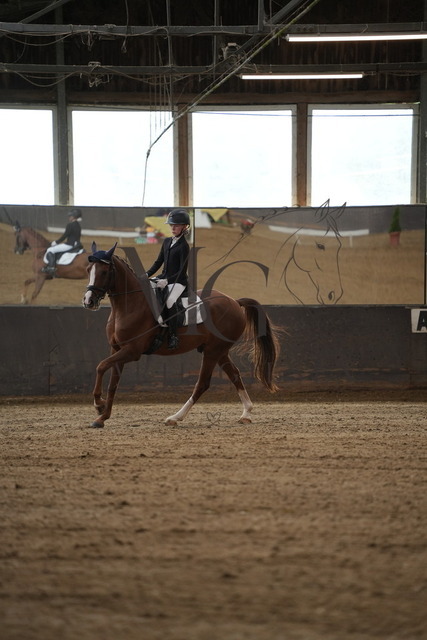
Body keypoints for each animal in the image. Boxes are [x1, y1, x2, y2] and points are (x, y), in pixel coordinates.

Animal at [82, 242, 280, 428]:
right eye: (88, 270)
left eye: (104, 271)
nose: (88, 301)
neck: (130, 305)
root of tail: (234, 302)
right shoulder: (117, 349)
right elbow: (112, 383)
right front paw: (102, 417)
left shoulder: (132, 351)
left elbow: (100, 366)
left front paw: (98, 404)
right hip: (220, 351)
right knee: (235, 375)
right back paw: (246, 413)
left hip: (213, 351)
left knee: (202, 384)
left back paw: (175, 417)